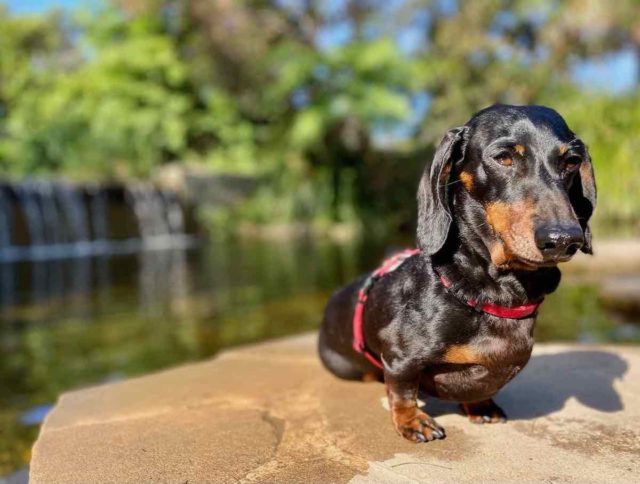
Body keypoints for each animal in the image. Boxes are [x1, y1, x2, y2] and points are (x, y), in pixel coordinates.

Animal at [318, 103, 596, 442]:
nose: (564, 239)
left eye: (572, 161)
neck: (489, 289)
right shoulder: (399, 358)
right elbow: (402, 390)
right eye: (503, 157)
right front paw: (412, 421)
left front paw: (480, 406)